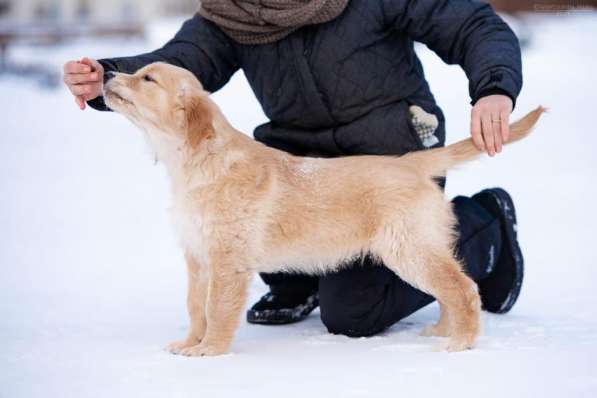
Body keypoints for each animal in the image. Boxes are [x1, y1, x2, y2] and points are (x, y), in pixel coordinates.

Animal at [103, 63, 544, 358]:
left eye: (147, 79)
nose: (106, 74)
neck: (196, 162)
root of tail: (410, 162)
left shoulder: (227, 259)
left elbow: (216, 307)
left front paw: (209, 350)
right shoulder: (197, 256)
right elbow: (196, 306)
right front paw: (189, 342)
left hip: (409, 250)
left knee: (463, 288)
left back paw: (461, 342)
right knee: (451, 286)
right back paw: (442, 331)